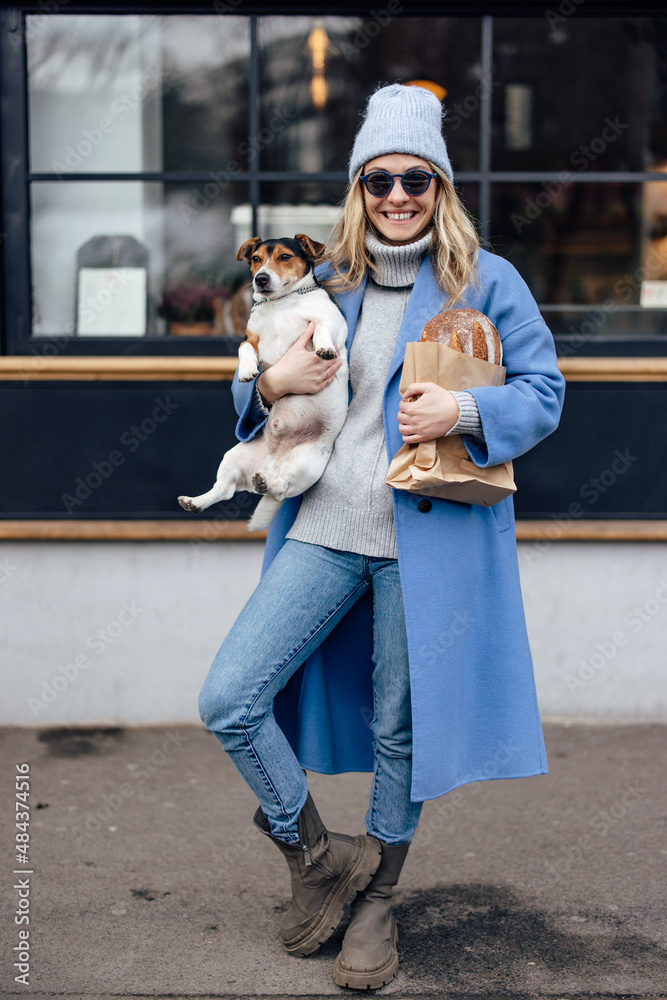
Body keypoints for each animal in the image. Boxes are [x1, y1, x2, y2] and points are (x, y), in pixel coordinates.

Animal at [177, 234, 350, 532]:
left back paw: (267, 484)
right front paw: (247, 371)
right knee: (224, 490)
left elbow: (322, 328)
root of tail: (271, 466)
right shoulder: (251, 338)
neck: (282, 303)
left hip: (305, 464)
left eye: (284, 257)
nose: (261, 278)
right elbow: (244, 348)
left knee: (280, 490)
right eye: (256, 259)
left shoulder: (332, 324)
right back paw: (197, 501)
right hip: (233, 457)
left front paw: (324, 348)